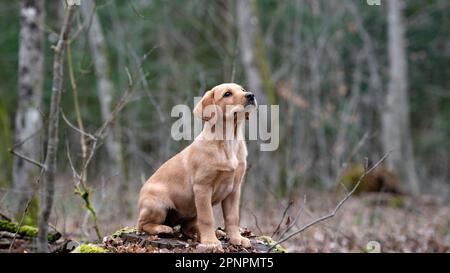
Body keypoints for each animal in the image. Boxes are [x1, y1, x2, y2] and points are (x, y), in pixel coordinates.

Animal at [136, 82, 256, 249]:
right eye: (227, 94)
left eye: (243, 90)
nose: (251, 95)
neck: (228, 141)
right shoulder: (202, 187)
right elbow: (207, 218)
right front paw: (210, 242)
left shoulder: (234, 189)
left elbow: (232, 217)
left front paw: (236, 238)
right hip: (157, 205)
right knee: (142, 225)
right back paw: (162, 229)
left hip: (191, 211)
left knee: (187, 228)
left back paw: (215, 233)